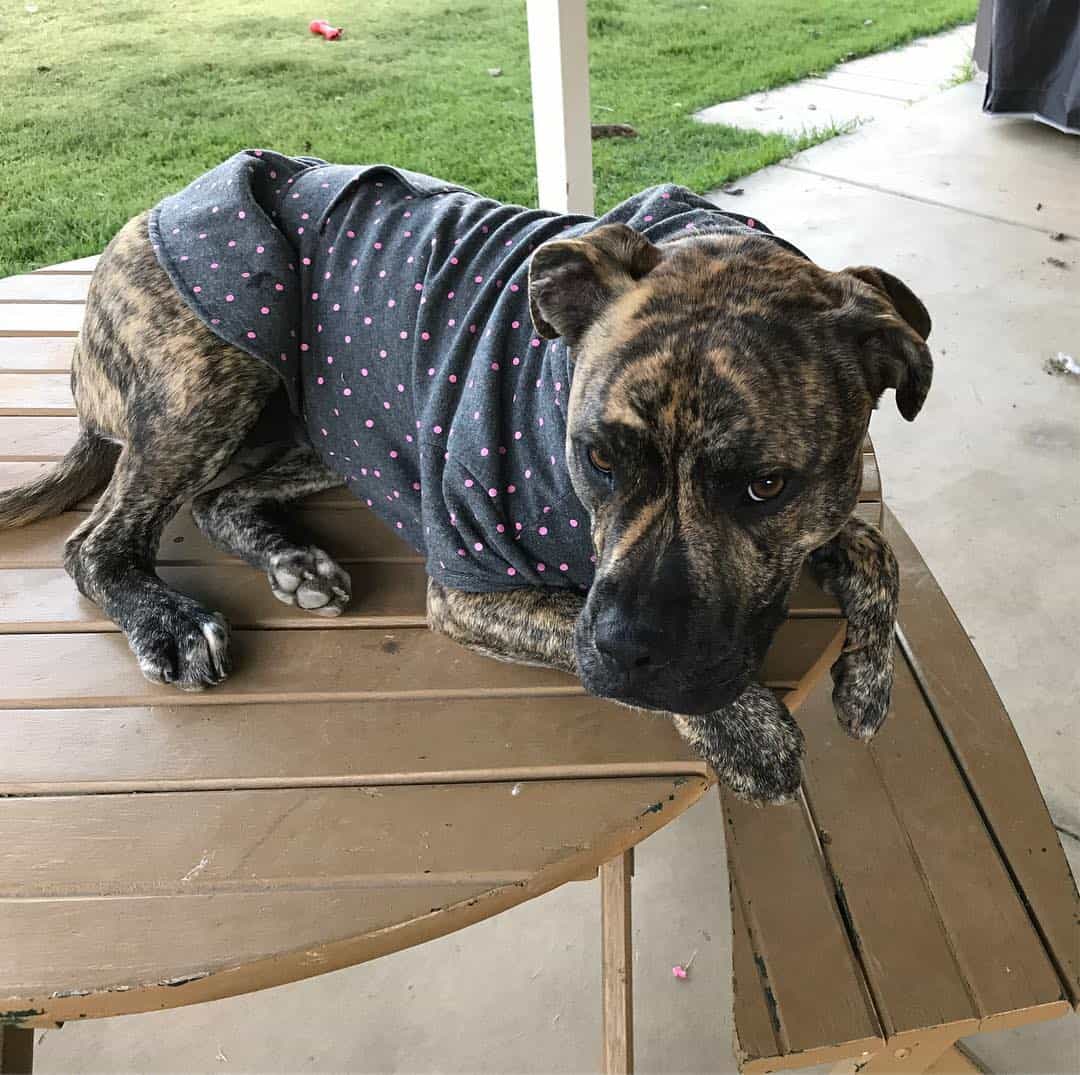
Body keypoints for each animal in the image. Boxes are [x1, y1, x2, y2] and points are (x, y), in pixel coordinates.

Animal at [0, 213, 928, 803]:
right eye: (596, 457)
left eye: (765, 485)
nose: (627, 654)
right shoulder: (470, 590)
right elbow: (574, 620)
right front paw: (747, 730)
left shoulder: (814, 515)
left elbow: (873, 550)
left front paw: (868, 678)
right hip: (206, 371)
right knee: (97, 540)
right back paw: (168, 617)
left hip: (336, 420)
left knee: (219, 493)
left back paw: (292, 560)